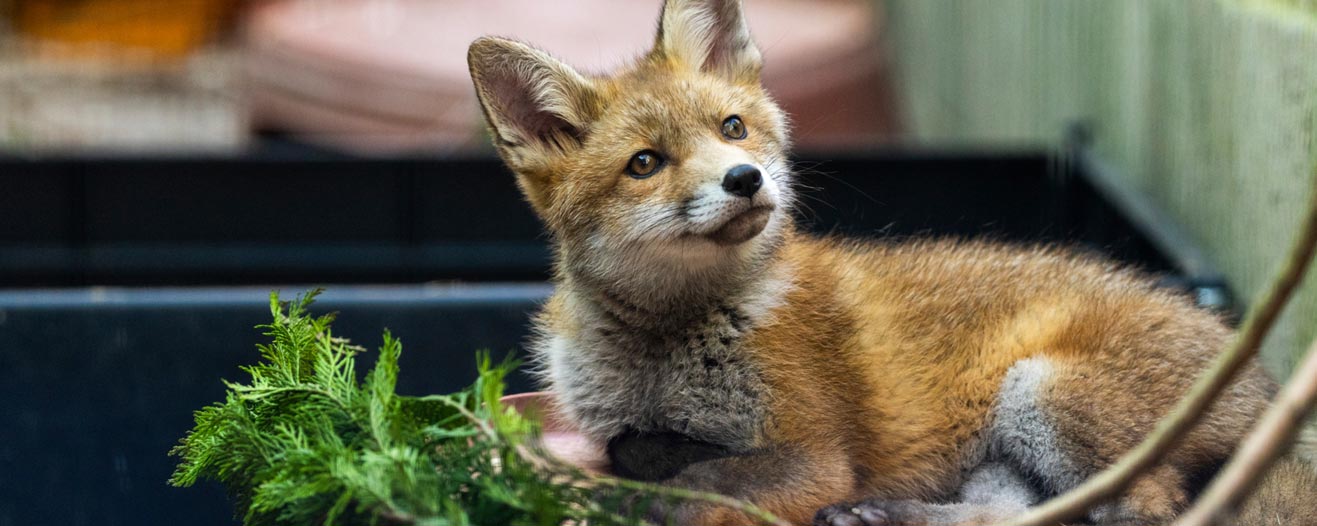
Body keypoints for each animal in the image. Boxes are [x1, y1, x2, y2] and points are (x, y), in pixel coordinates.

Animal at [466, 0, 1317, 524]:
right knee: (1011, 514)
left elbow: (707, 490)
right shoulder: (619, 430)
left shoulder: (812, 455)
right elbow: (652, 459)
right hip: (1007, 452)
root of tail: (1261, 375)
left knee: (1137, 512)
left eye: (731, 127)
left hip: (1043, 393)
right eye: (645, 163)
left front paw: (663, 492)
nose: (745, 179)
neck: (663, 353)